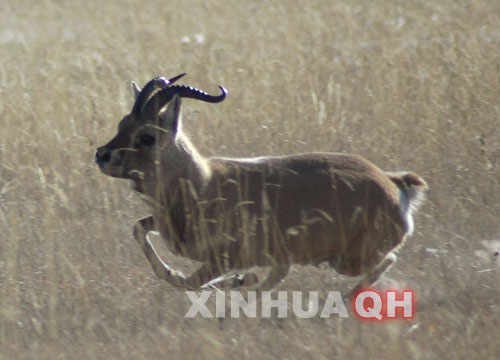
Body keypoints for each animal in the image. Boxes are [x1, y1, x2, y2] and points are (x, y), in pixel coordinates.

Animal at [95, 74, 428, 296]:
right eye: (122, 124)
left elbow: (189, 281)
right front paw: (238, 280)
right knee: (280, 273)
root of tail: (394, 183)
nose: (101, 155)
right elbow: (139, 229)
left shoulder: (223, 258)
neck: (204, 184)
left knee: (386, 260)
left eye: (147, 137)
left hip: (346, 261)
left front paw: (232, 281)